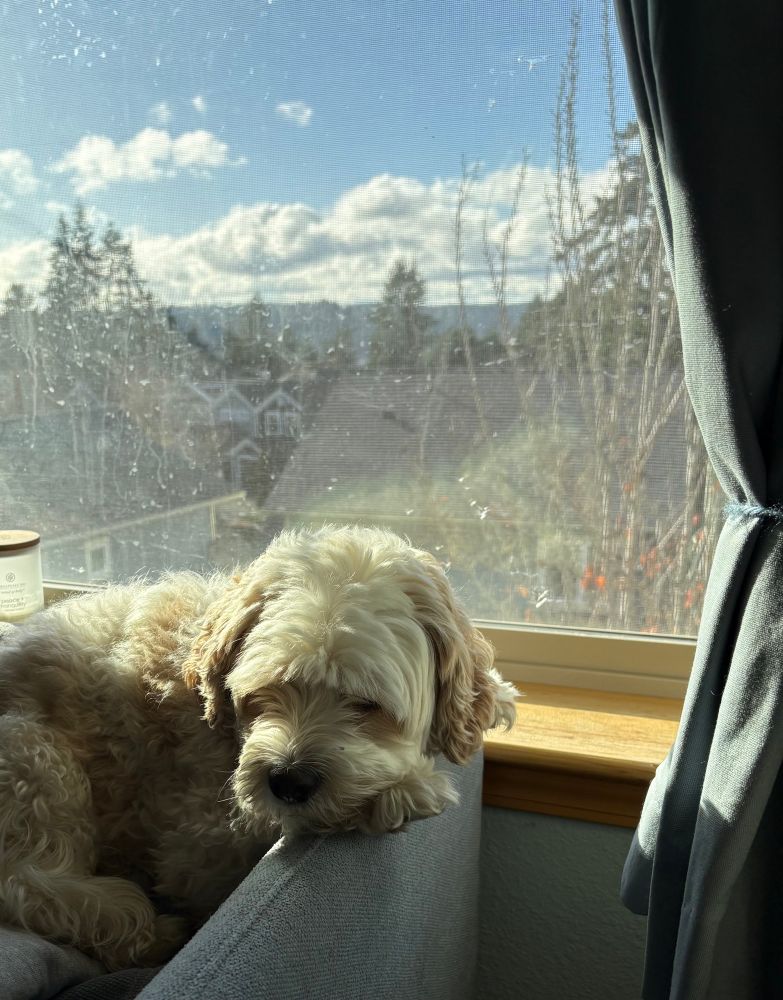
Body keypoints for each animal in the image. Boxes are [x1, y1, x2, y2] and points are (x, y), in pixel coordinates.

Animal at [0, 525, 516, 969]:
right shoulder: (194, 847)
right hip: (33, 756)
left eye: (367, 704)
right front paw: (403, 793)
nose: (289, 781)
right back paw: (146, 931)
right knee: (25, 884)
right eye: (266, 690)